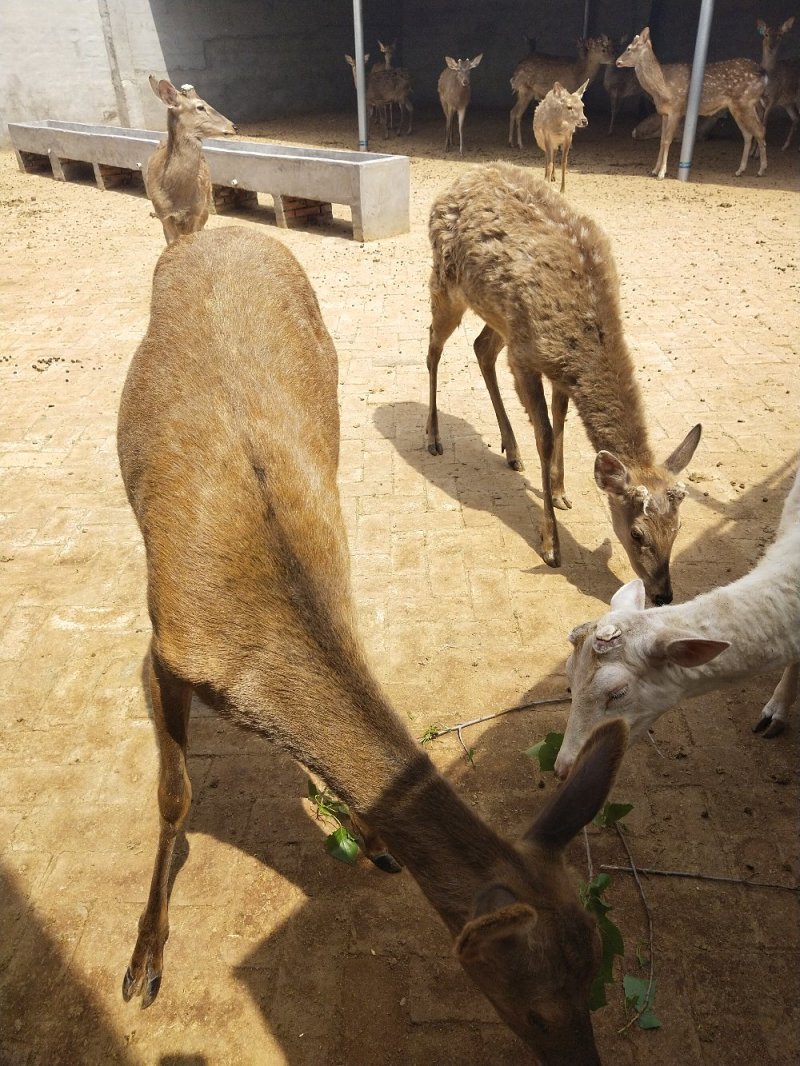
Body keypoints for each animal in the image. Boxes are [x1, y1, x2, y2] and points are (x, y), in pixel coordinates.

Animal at [117, 224, 629, 1065]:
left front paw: (369, 833)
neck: (257, 646)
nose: (583, 1061)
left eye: (599, 978)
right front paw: (145, 961)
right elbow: (173, 795)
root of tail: (211, 230)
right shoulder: (164, 649)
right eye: (532, 1009)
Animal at [425, 163, 701, 606]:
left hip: (498, 316)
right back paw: (433, 436)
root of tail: (458, 182)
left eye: (678, 528)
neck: (580, 342)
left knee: (481, 347)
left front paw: (558, 491)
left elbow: (560, 422)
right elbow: (546, 436)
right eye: (636, 533)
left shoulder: (556, 369)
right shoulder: (525, 358)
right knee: (433, 345)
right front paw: (552, 546)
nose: (663, 595)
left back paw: (510, 449)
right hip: (447, 284)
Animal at [616, 27, 767, 179]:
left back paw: (761, 169)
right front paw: (654, 170)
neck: (663, 87)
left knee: (760, 130)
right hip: (739, 107)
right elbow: (661, 140)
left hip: (745, 101)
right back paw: (740, 170)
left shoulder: (676, 110)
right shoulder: (664, 113)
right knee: (748, 134)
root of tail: (764, 74)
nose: (617, 61)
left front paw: (662, 173)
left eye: (629, 48)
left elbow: (667, 140)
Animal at [757, 17, 800, 150]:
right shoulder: (760, 100)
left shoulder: (773, 98)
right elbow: (759, 124)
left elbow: (764, 125)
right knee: (796, 118)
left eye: (780, 35)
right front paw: (752, 152)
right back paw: (785, 146)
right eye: (766, 34)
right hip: (787, 103)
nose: (771, 47)